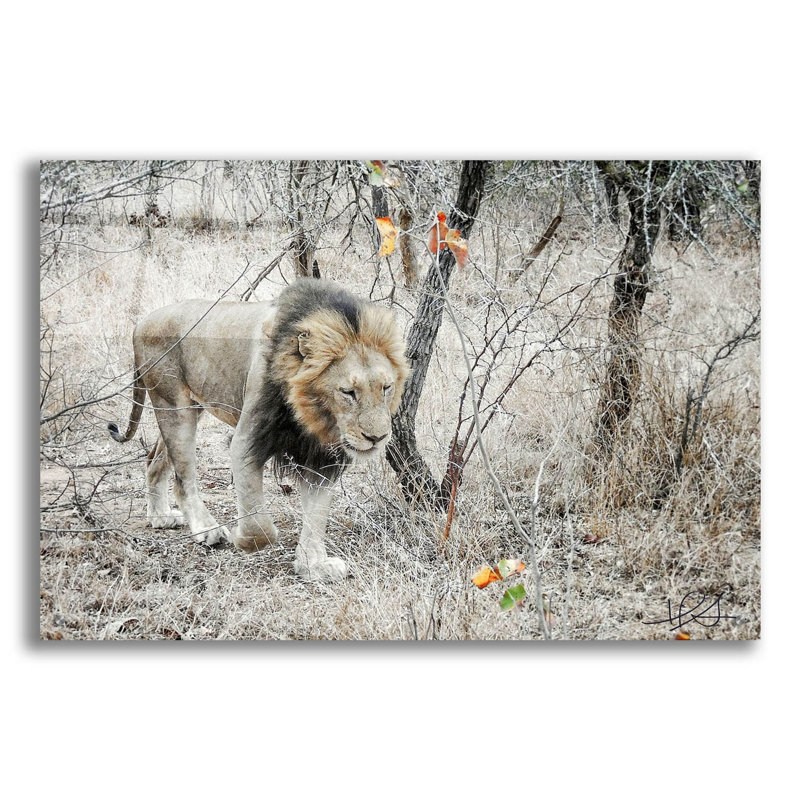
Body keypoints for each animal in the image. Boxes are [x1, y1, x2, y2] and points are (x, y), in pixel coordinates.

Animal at [108, 278, 409, 581]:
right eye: (348, 392)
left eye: (386, 387)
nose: (377, 437)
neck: (312, 416)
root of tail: (141, 321)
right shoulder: (247, 439)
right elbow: (260, 524)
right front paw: (244, 539)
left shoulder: (321, 458)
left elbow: (317, 515)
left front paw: (313, 565)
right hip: (174, 406)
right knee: (184, 478)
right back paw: (207, 529)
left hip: (189, 407)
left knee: (154, 461)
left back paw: (160, 516)